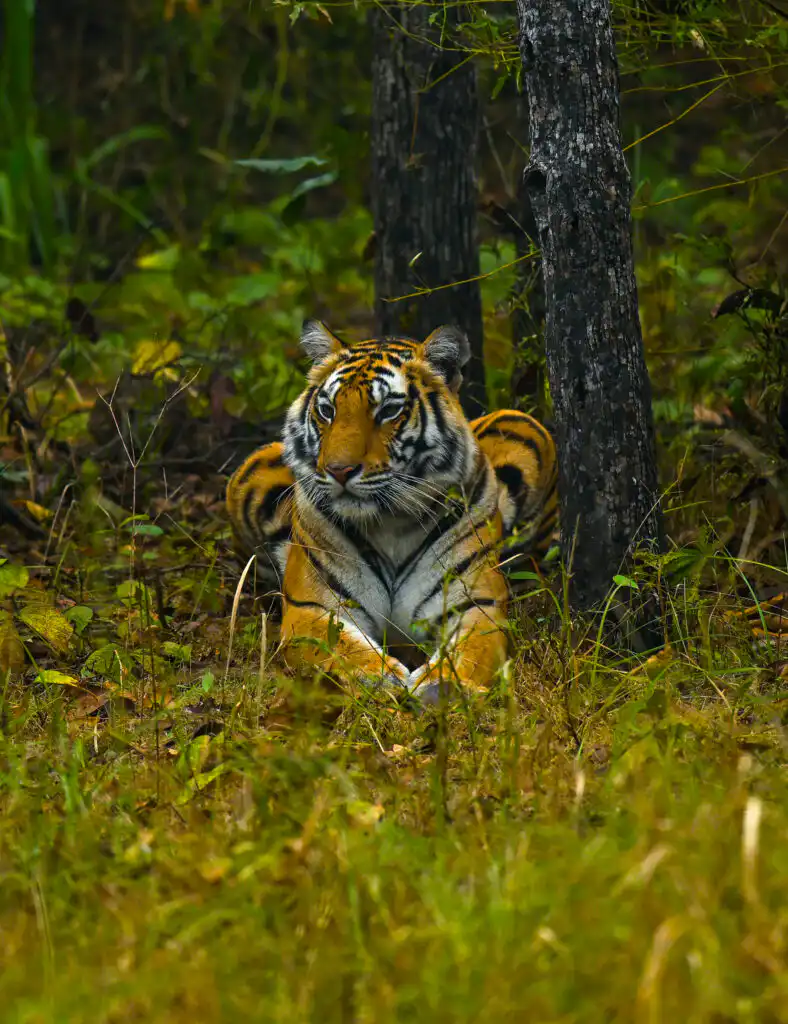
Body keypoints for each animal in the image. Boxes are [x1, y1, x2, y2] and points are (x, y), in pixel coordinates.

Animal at [226, 320, 558, 704]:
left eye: (387, 411)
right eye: (327, 410)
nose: (339, 470)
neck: (391, 522)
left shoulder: (476, 605)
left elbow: (468, 652)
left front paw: (444, 687)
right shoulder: (313, 608)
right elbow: (342, 650)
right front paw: (378, 680)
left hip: (524, 428)